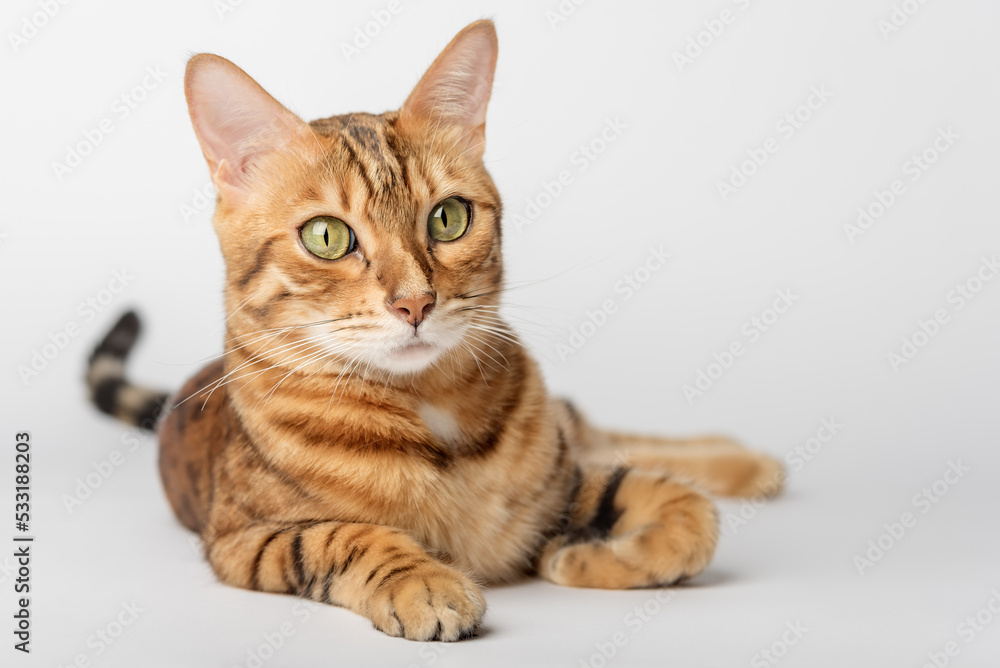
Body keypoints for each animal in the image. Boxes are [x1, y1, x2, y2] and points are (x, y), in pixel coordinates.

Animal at [88, 18, 780, 640]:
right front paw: (425, 581)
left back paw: (750, 462)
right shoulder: (243, 539)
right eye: (326, 236)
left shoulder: (564, 480)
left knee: (609, 436)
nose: (416, 303)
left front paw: (583, 557)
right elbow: (343, 536)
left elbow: (690, 514)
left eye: (448, 218)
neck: (429, 409)